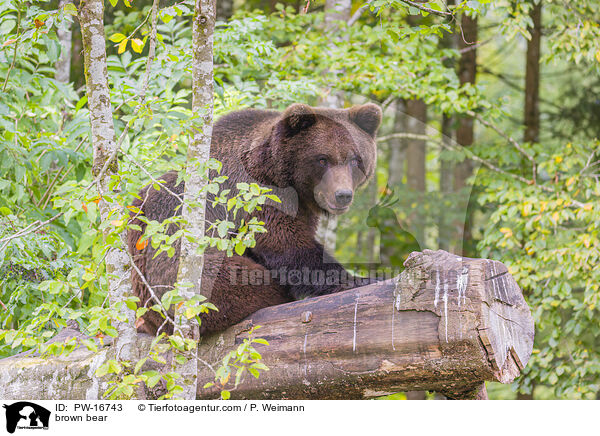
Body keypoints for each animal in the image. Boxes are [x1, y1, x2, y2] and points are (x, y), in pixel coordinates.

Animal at [128, 102, 382, 334]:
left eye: (355, 160)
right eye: (322, 159)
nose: (343, 195)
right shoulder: (259, 196)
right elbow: (286, 244)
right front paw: (361, 279)